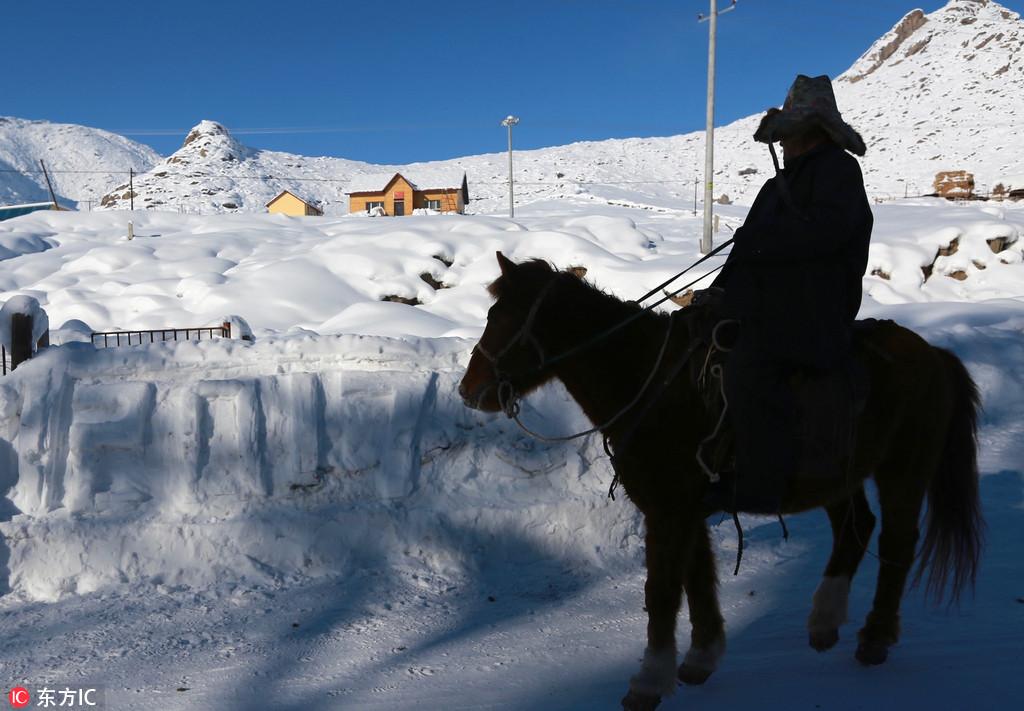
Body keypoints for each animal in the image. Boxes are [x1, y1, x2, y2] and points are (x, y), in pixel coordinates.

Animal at [458, 253, 983, 708]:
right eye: (491, 313)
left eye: (507, 321)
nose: (468, 391)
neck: (654, 383)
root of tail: (932, 354)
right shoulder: (683, 510)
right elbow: (697, 579)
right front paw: (700, 657)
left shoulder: (670, 511)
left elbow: (663, 591)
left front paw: (649, 682)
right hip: (838, 478)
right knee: (856, 527)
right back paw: (824, 622)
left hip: (903, 471)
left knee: (897, 541)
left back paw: (874, 637)